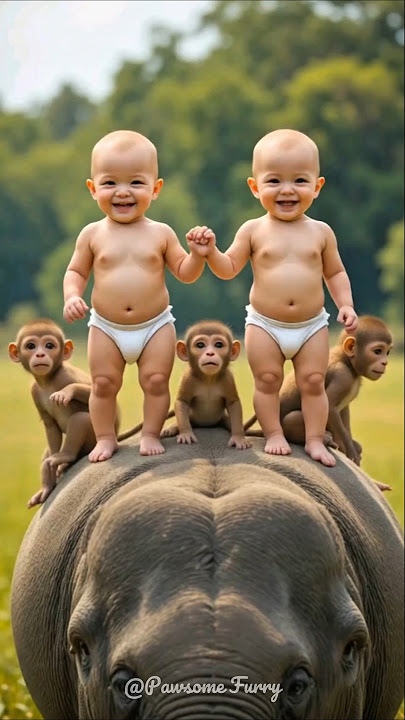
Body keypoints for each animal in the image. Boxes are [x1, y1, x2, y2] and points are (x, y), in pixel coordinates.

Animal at [161, 320, 252, 449]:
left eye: (218, 345)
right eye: (200, 345)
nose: (210, 353)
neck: (208, 379)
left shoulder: (228, 378)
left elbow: (233, 403)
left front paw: (239, 437)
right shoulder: (188, 377)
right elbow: (182, 402)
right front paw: (186, 433)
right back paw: (172, 428)